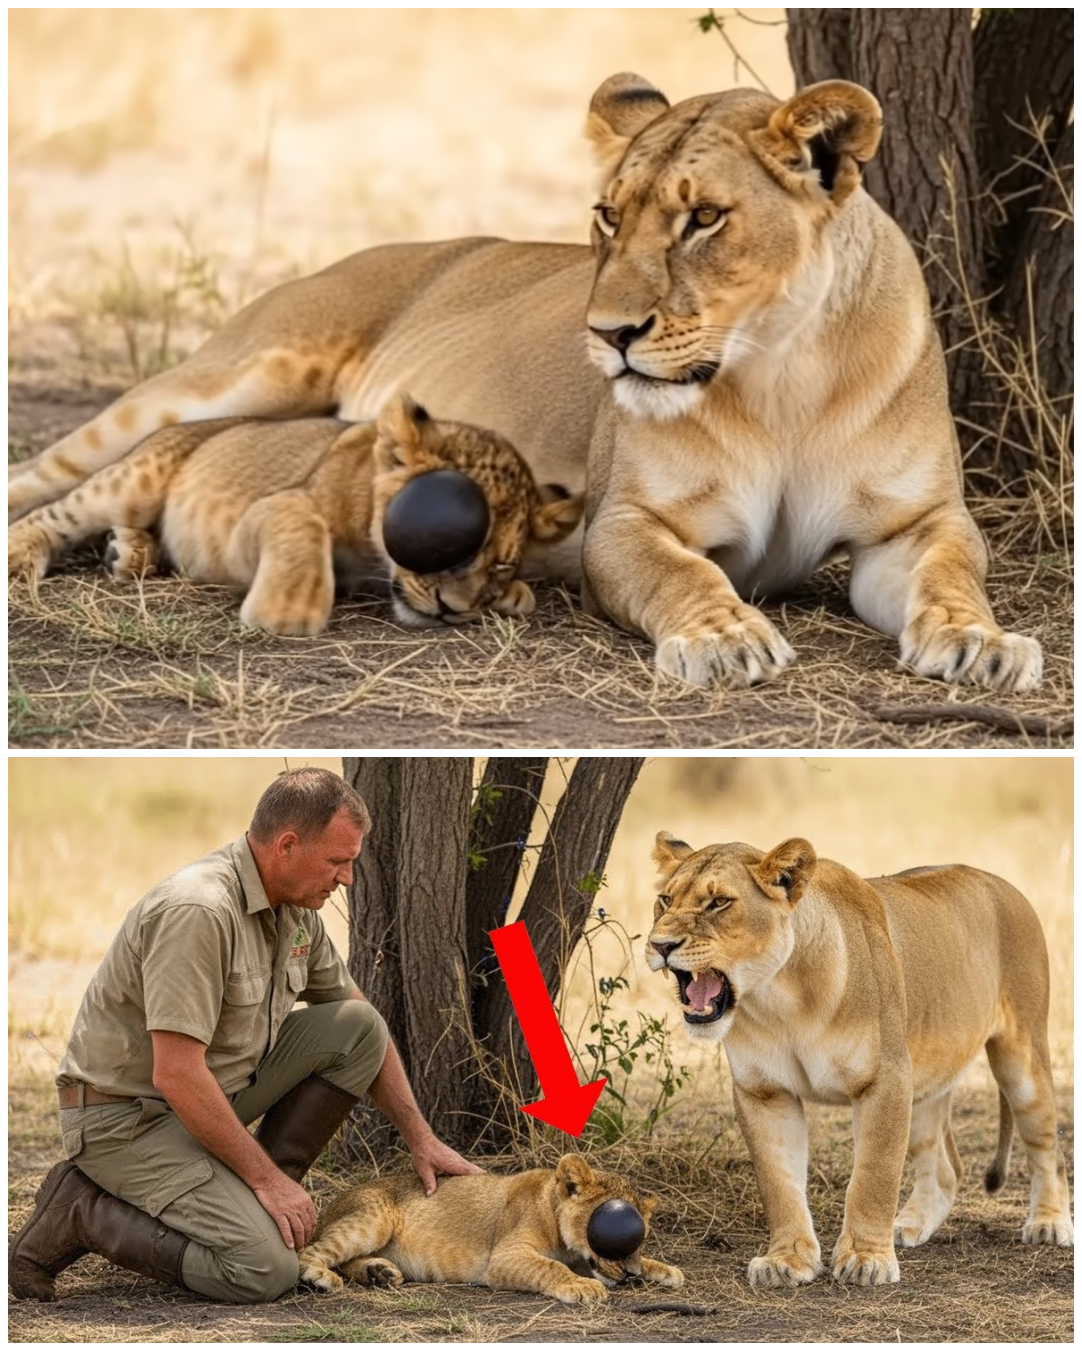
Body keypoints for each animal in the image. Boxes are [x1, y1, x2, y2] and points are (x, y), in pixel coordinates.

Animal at [7, 393, 582, 635]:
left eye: (501, 562)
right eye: (441, 542)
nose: (451, 610)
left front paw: (511, 595)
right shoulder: (267, 510)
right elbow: (303, 526)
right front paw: (288, 609)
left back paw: (128, 553)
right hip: (133, 480)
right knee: (55, 513)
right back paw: (19, 557)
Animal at [297, 1154, 683, 1305]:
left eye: (639, 1239)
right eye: (615, 1237)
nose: (631, 1274)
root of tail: (330, 1204)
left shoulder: (576, 1257)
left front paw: (665, 1270)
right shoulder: (505, 1257)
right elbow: (550, 1267)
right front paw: (582, 1287)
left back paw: (380, 1273)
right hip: (375, 1218)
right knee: (310, 1252)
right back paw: (320, 1277)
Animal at [647, 831, 1073, 1288]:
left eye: (719, 902)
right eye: (665, 899)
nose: (660, 945)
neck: (780, 1000)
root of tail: (1005, 885)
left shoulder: (885, 1080)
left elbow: (874, 1174)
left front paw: (867, 1259)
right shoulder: (764, 1092)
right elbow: (779, 1182)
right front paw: (787, 1259)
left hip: (1021, 1056)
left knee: (1048, 1145)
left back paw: (1049, 1224)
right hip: (924, 1079)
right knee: (945, 1167)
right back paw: (910, 1224)